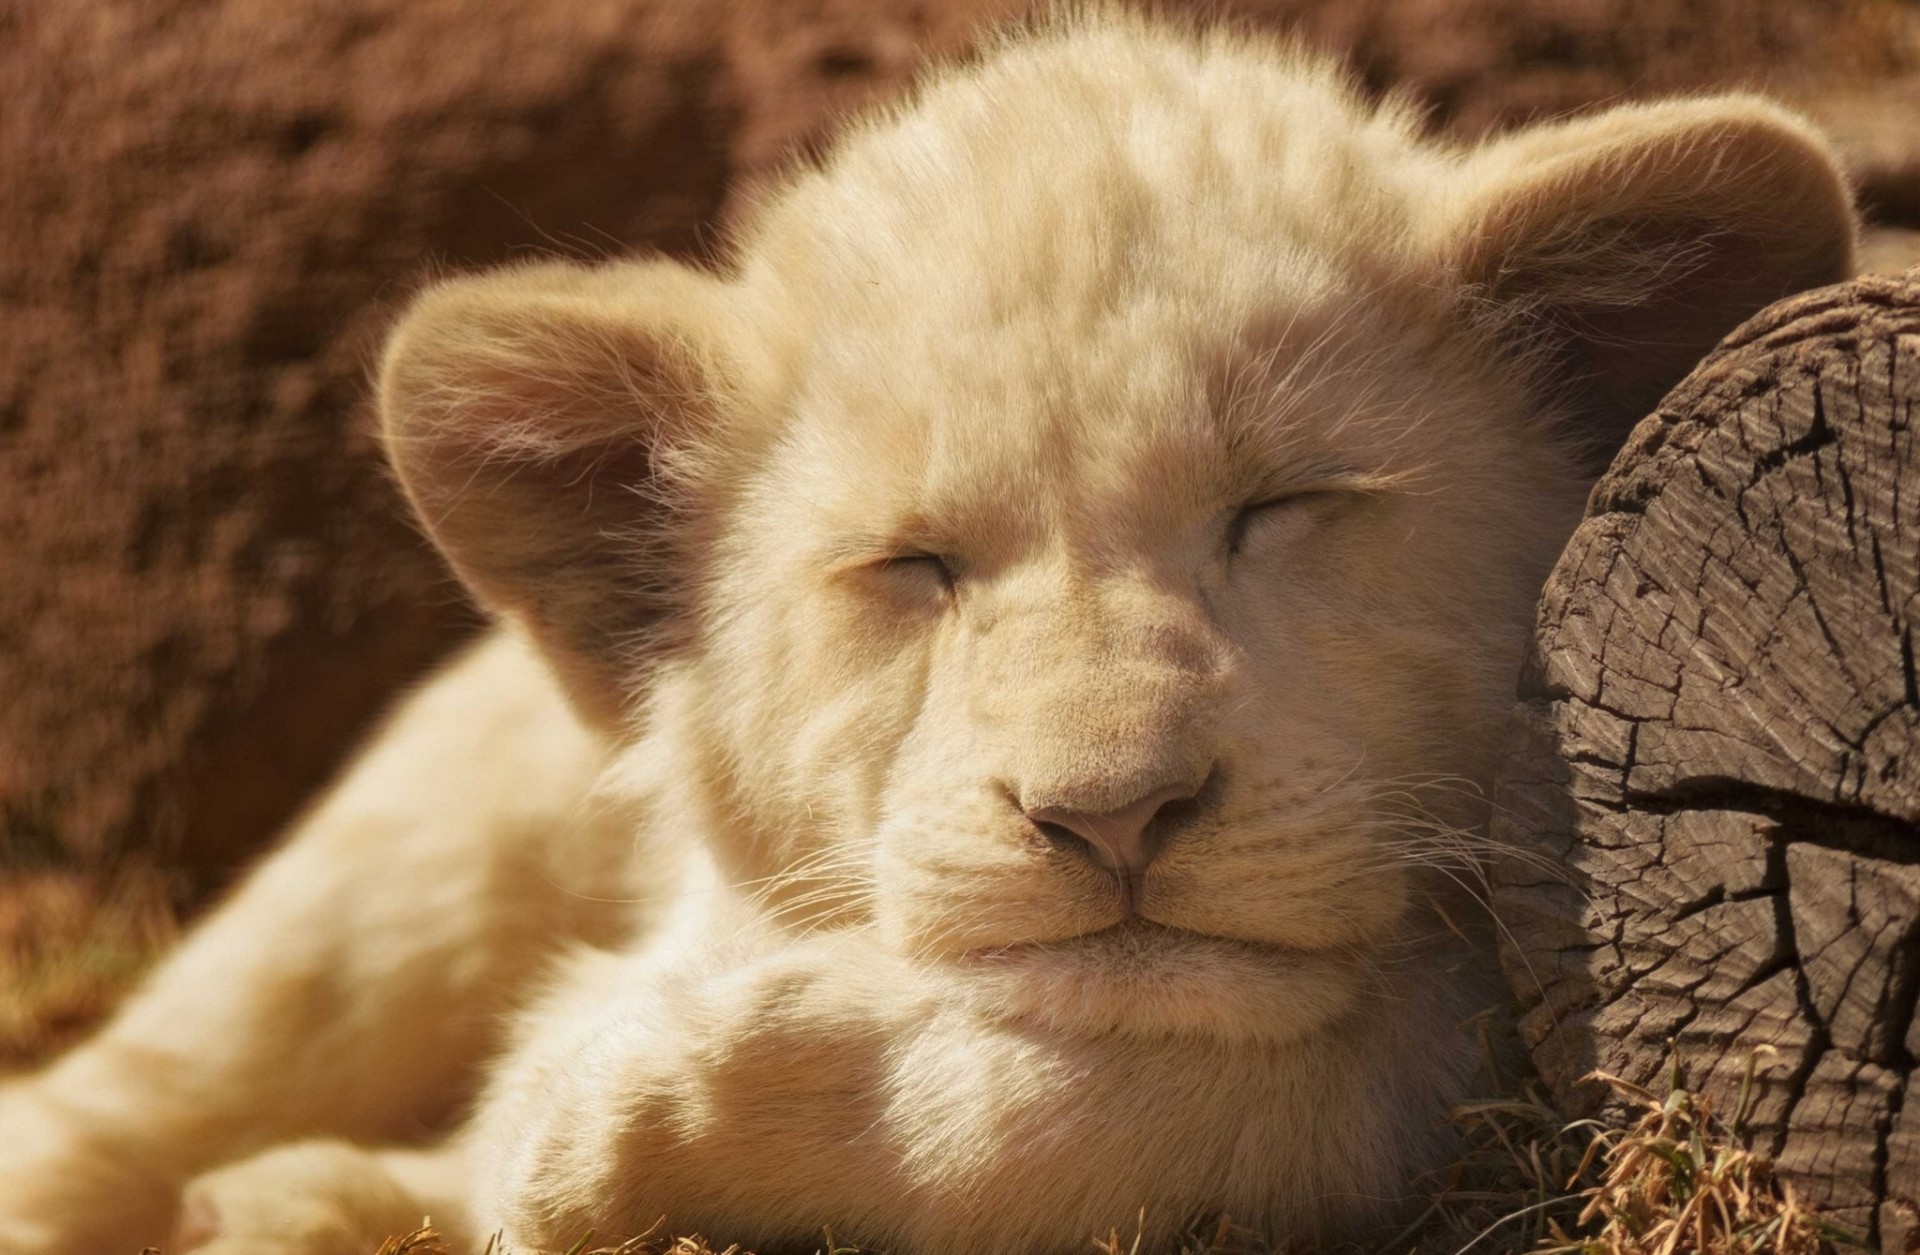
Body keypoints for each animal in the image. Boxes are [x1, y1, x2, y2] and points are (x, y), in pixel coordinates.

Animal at [0, 11, 1855, 1255]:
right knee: (128, 1093)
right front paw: (575, 1111)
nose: (1111, 814)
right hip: (406, 869)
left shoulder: (1484, 1025)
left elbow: (1266, 1075)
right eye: (914, 566)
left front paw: (618, 1108)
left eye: (1285, 505)